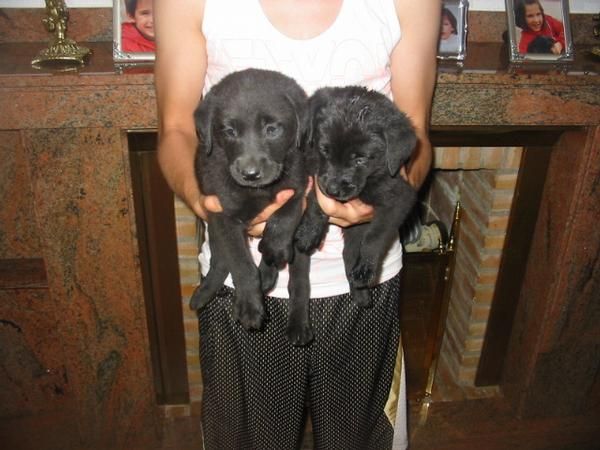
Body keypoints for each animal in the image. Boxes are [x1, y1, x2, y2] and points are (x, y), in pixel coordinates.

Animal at [191, 69, 314, 344]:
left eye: (272, 129)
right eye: (229, 131)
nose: (250, 174)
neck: (258, 191)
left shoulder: (298, 183)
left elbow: (285, 214)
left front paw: (275, 247)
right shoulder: (222, 214)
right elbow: (240, 263)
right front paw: (249, 306)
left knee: (299, 281)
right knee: (219, 261)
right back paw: (204, 293)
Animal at [296, 86, 418, 308]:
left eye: (360, 160)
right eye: (324, 150)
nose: (333, 190)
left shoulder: (399, 198)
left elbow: (376, 235)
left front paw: (365, 269)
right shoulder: (315, 171)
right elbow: (315, 198)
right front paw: (309, 232)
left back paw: (360, 290)